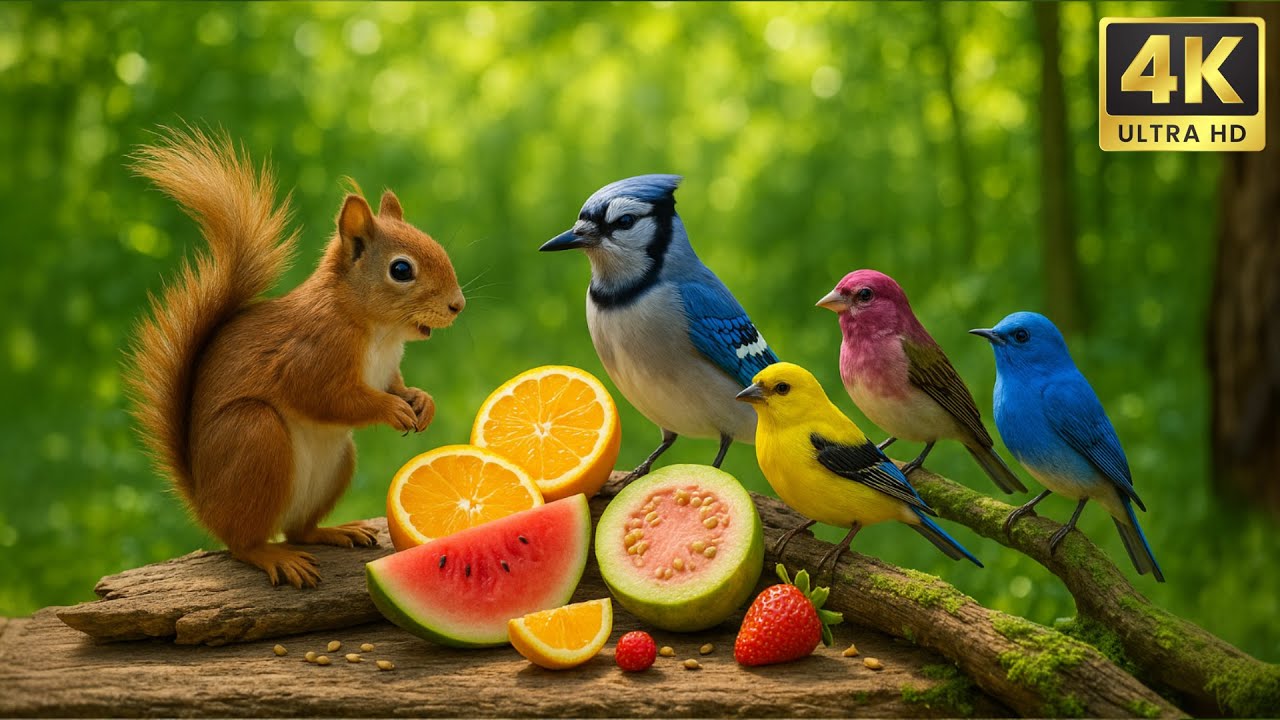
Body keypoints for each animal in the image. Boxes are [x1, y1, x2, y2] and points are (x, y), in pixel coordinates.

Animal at [126, 127, 465, 588]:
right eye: (401, 270)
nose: (458, 305)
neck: (377, 331)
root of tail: (205, 504)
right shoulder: (310, 356)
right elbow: (328, 398)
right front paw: (391, 408)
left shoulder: (387, 369)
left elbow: (397, 384)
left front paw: (421, 401)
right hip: (254, 436)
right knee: (244, 542)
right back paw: (271, 556)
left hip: (338, 464)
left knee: (298, 530)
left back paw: (334, 531)